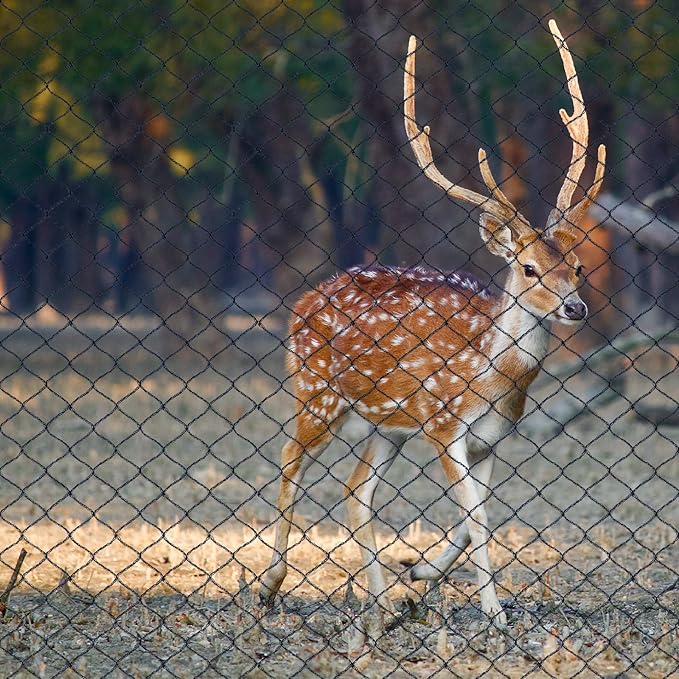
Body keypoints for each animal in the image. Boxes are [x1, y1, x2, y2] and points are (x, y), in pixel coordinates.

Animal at [260, 20, 606, 630]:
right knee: (289, 459)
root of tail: (303, 301)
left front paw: (418, 577)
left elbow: (478, 517)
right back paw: (270, 586)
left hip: (386, 424)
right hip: (317, 389)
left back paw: (379, 606)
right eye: (529, 267)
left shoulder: (491, 438)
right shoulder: (444, 424)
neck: (493, 380)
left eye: (579, 267)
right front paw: (493, 612)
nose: (575, 308)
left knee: (356, 491)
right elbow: (478, 519)